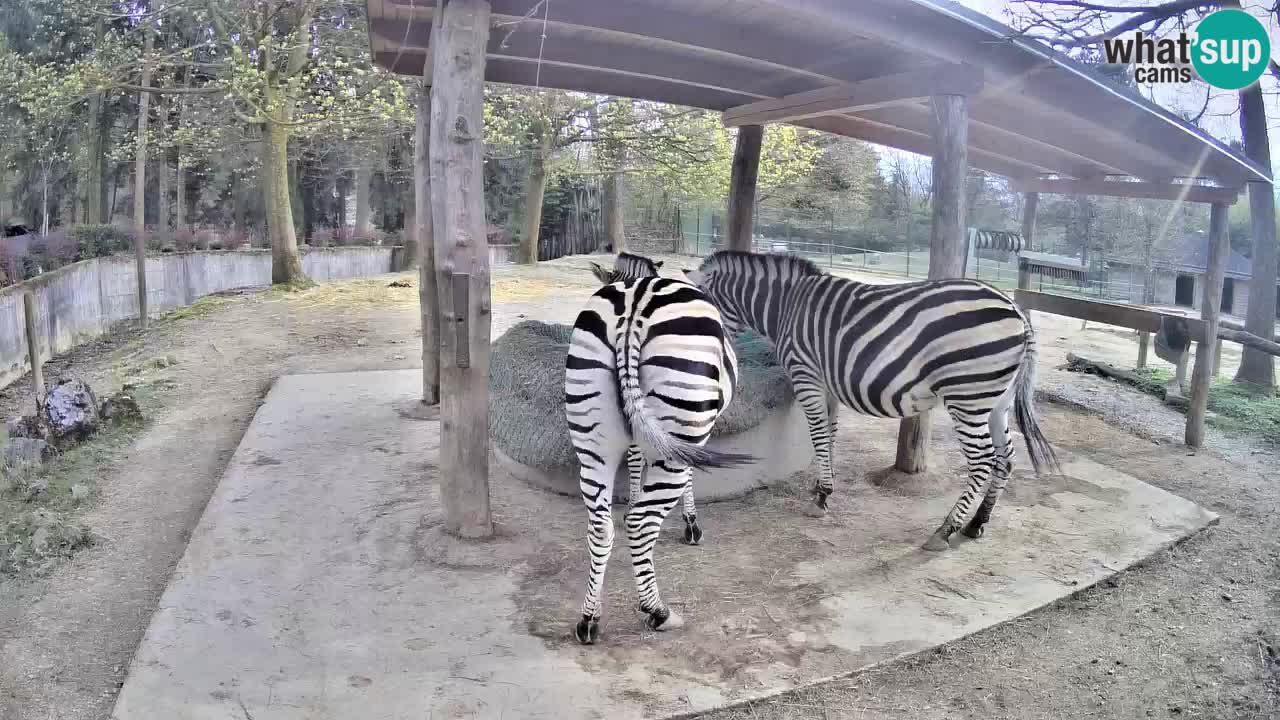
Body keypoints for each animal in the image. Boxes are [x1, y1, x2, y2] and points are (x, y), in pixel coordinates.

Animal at [682, 250, 1059, 552]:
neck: (785, 307)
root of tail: (1016, 309)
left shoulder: (805, 374)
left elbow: (818, 434)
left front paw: (822, 496)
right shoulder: (826, 382)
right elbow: (829, 434)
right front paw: (821, 487)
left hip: (967, 397)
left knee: (983, 461)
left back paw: (944, 530)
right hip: (995, 400)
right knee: (1006, 457)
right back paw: (977, 523)